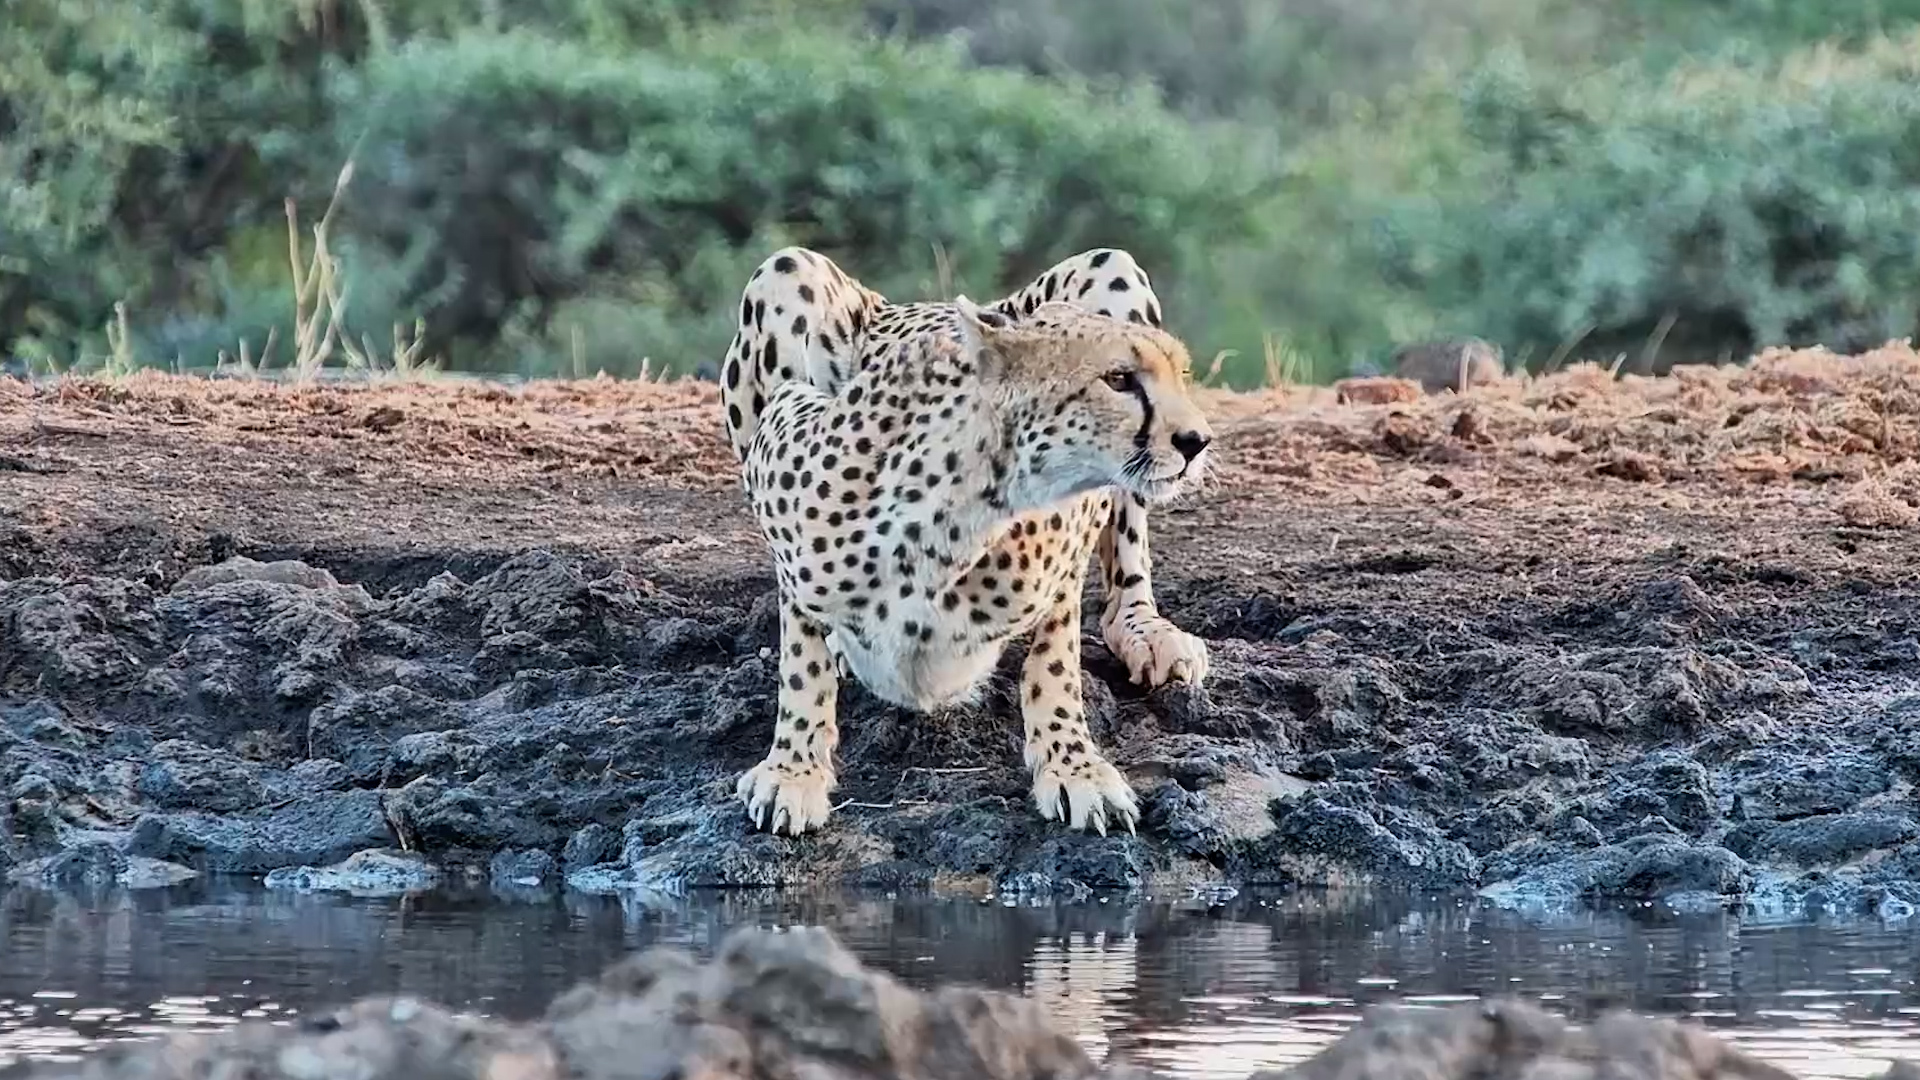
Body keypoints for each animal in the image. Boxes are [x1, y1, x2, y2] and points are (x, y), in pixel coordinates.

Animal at [718, 245, 1214, 838]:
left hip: (1109, 265)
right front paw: (794, 770)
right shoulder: (782, 461)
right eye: (1118, 379)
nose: (1198, 440)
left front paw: (1073, 766)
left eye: (1181, 376)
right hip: (787, 270)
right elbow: (801, 655)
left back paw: (1147, 630)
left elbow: (1054, 658)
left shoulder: (1071, 540)